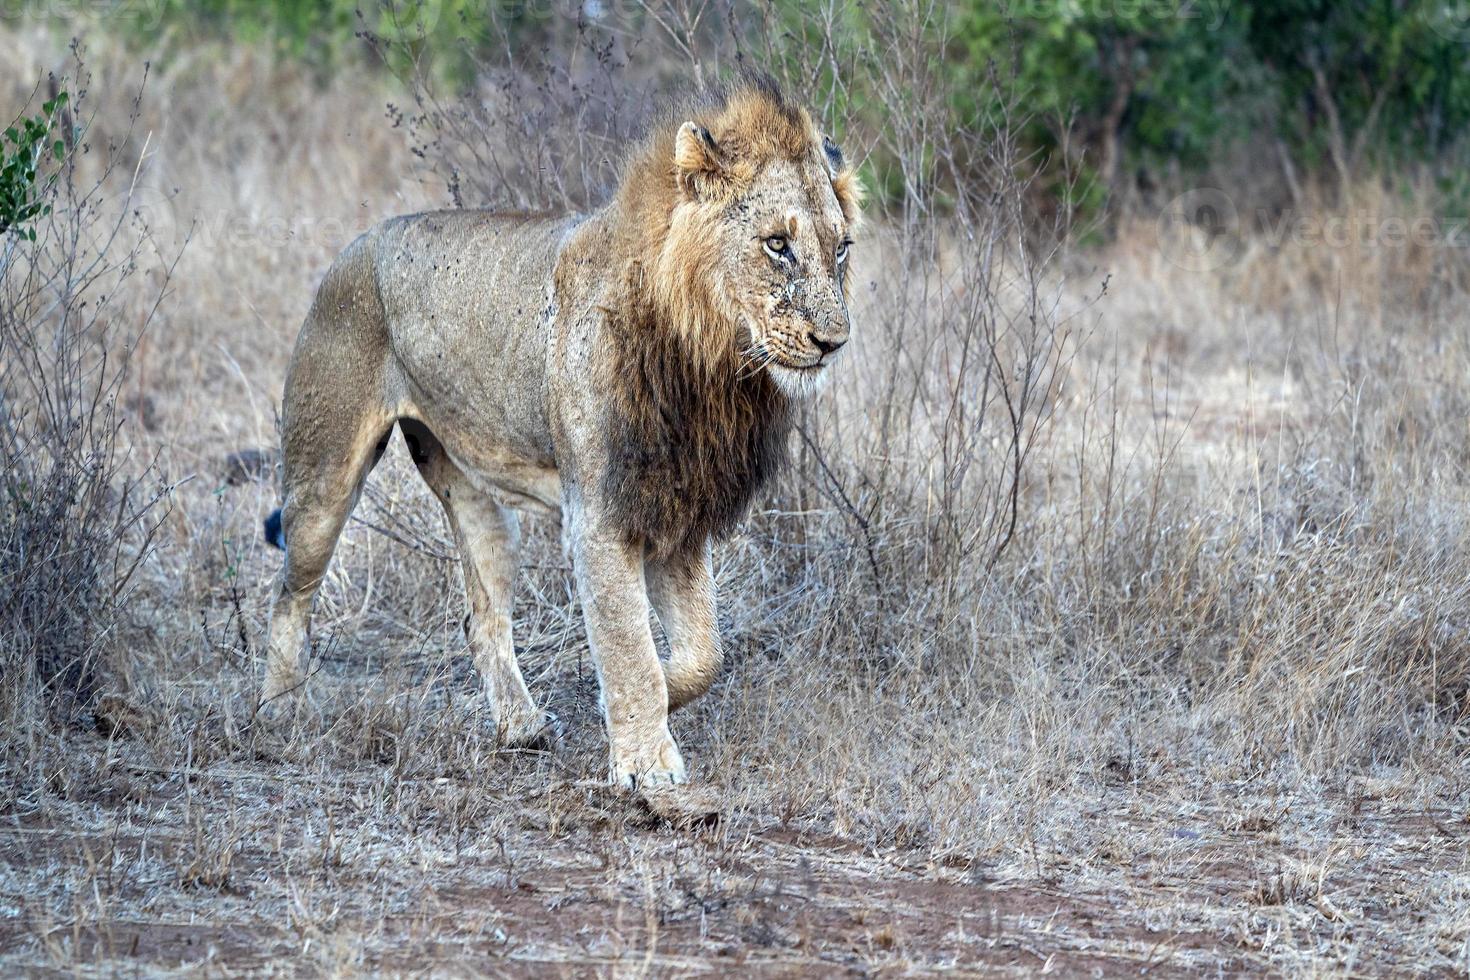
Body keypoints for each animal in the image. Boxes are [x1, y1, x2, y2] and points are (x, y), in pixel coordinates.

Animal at [261, 74, 858, 787]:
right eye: (776, 244)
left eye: (842, 248)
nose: (833, 342)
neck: (709, 361)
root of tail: (356, 243)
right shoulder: (600, 515)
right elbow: (629, 644)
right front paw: (647, 765)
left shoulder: (677, 509)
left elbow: (702, 655)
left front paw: (640, 702)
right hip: (324, 476)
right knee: (289, 595)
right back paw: (279, 712)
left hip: (480, 504)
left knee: (481, 616)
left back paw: (521, 728)